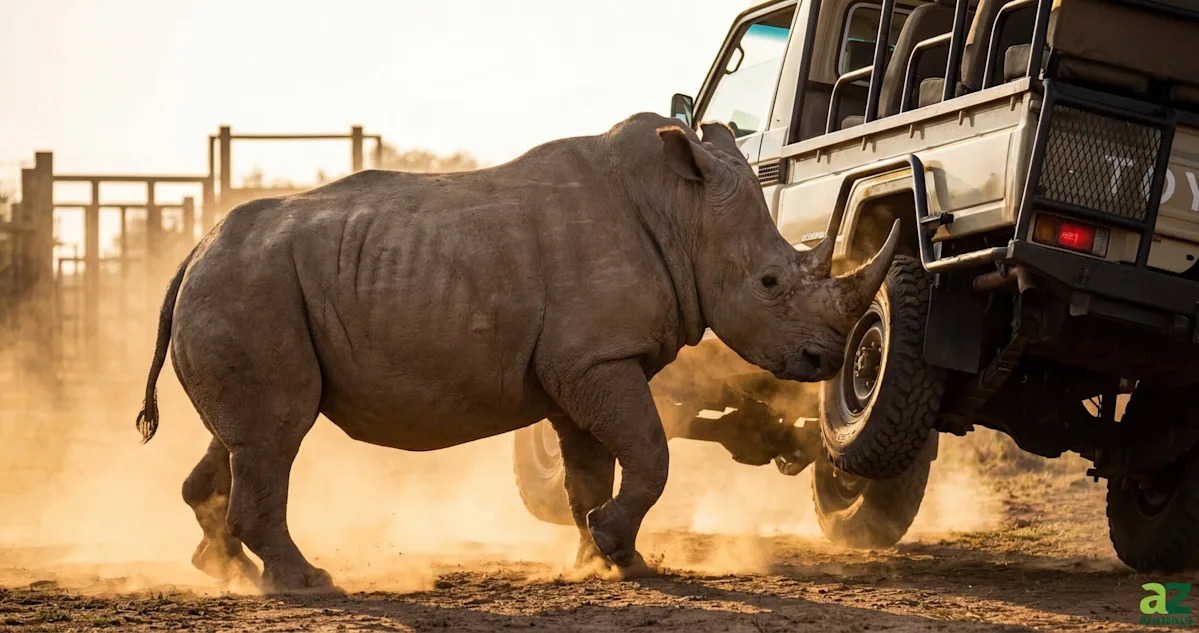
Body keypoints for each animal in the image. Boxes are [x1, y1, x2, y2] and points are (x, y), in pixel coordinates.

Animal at [136, 113, 898, 592]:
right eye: (769, 282)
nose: (825, 359)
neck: (681, 212)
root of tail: (191, 254)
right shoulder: (595, 358)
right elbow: (651, 452)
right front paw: (617, 549)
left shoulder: (578, 365)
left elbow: (588, 471)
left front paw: (604, 560)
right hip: (249, 288)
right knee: (277, 434)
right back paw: (307, 584)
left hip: (242, 289)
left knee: (243, 437)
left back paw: (226, 571)